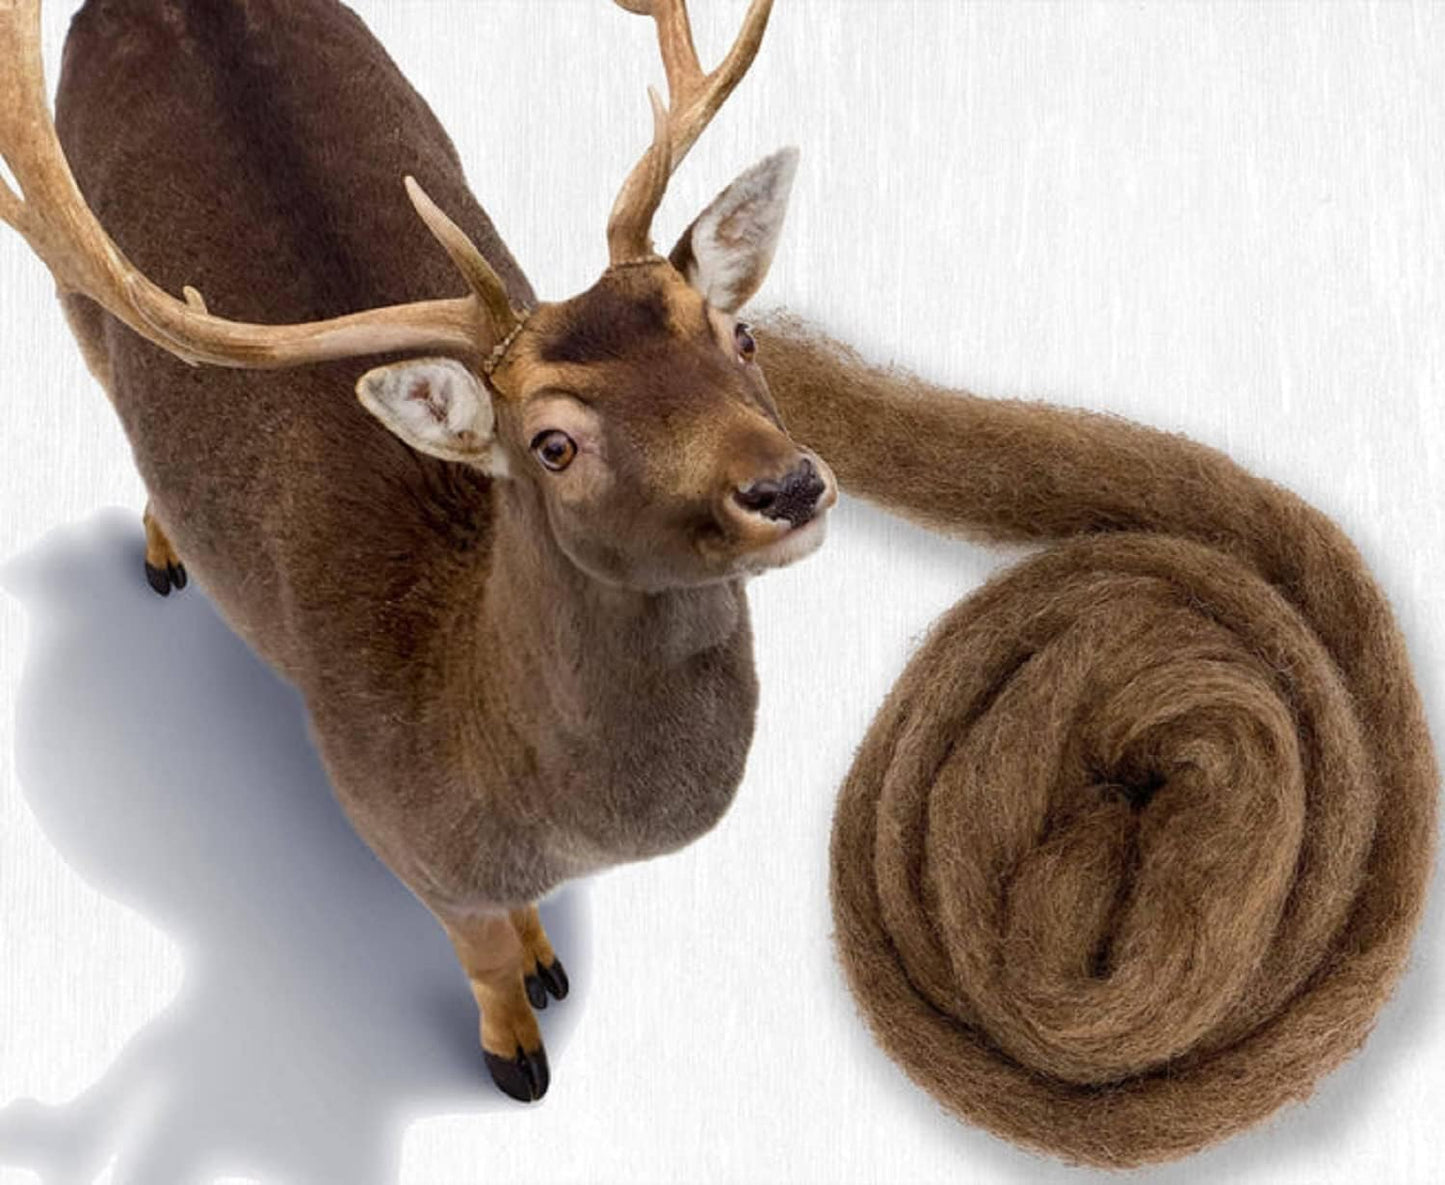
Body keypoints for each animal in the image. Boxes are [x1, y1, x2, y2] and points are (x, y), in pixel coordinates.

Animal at [0, 0, 835, 1103]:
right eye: (552, 443)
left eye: (737, 336)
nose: (787, 486)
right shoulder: (389, 826)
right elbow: (476, 955)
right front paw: (514, 1046)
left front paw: (545, 956)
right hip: (80, 308)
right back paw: (162, 553)